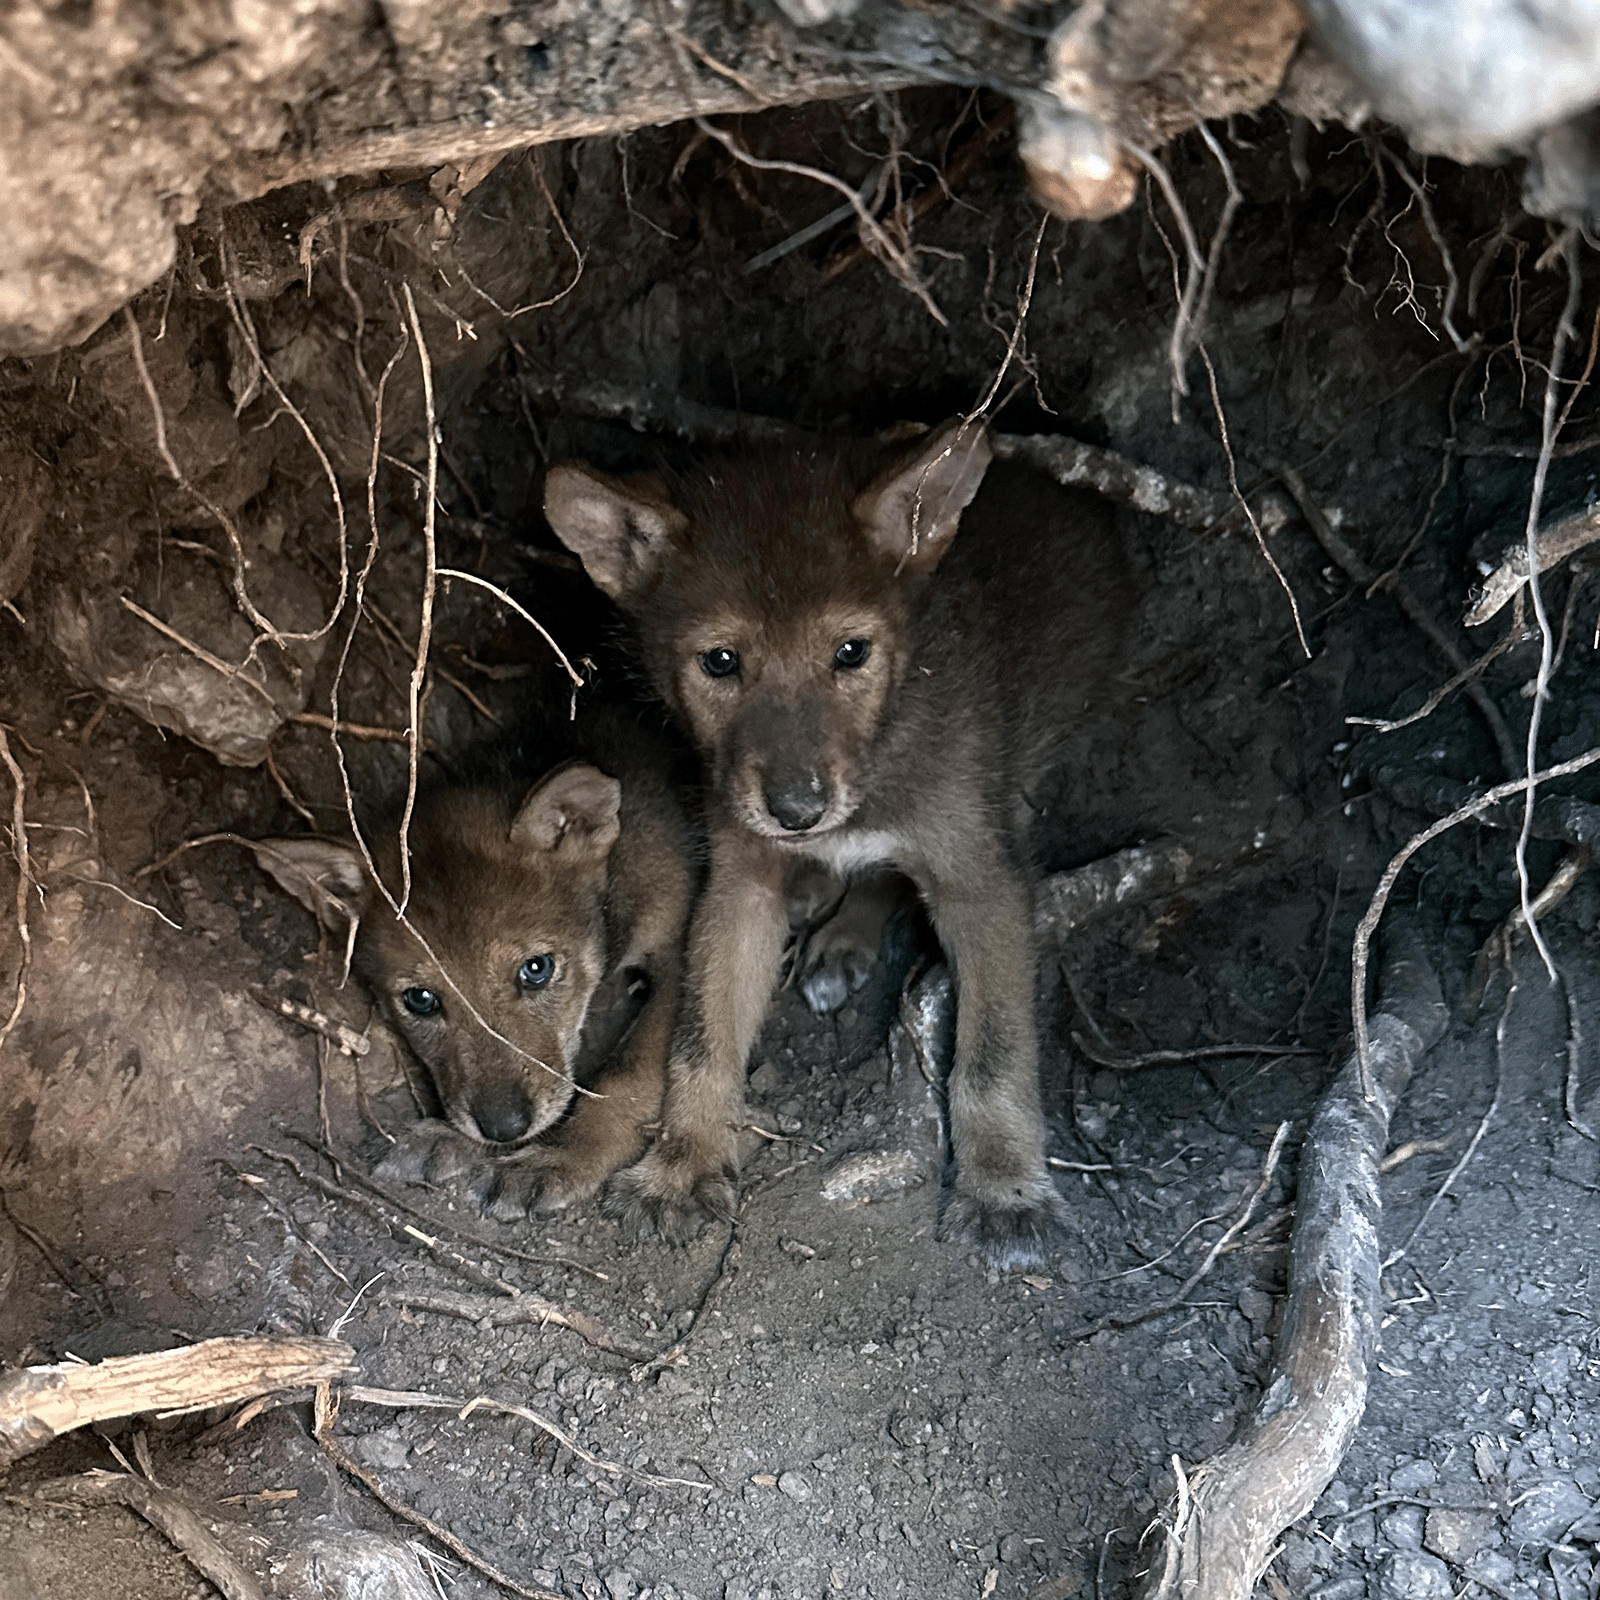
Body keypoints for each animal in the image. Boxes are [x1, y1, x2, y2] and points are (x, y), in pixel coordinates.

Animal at [261, 710, 697, 1217]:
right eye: (421, 999)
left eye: (536, 969)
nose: (504, 1127)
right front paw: (448, 1138)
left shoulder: (677, 956)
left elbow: (625, 1076)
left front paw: (561, 1156)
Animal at [544, 419, 1134, 1267]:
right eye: (721, 661)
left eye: (850, 653)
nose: (798, 810)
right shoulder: (741, 883)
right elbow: (702, 1038)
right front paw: (683, 1163)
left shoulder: (979, 875)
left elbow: (993, 1052)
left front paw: (1005, 1189)